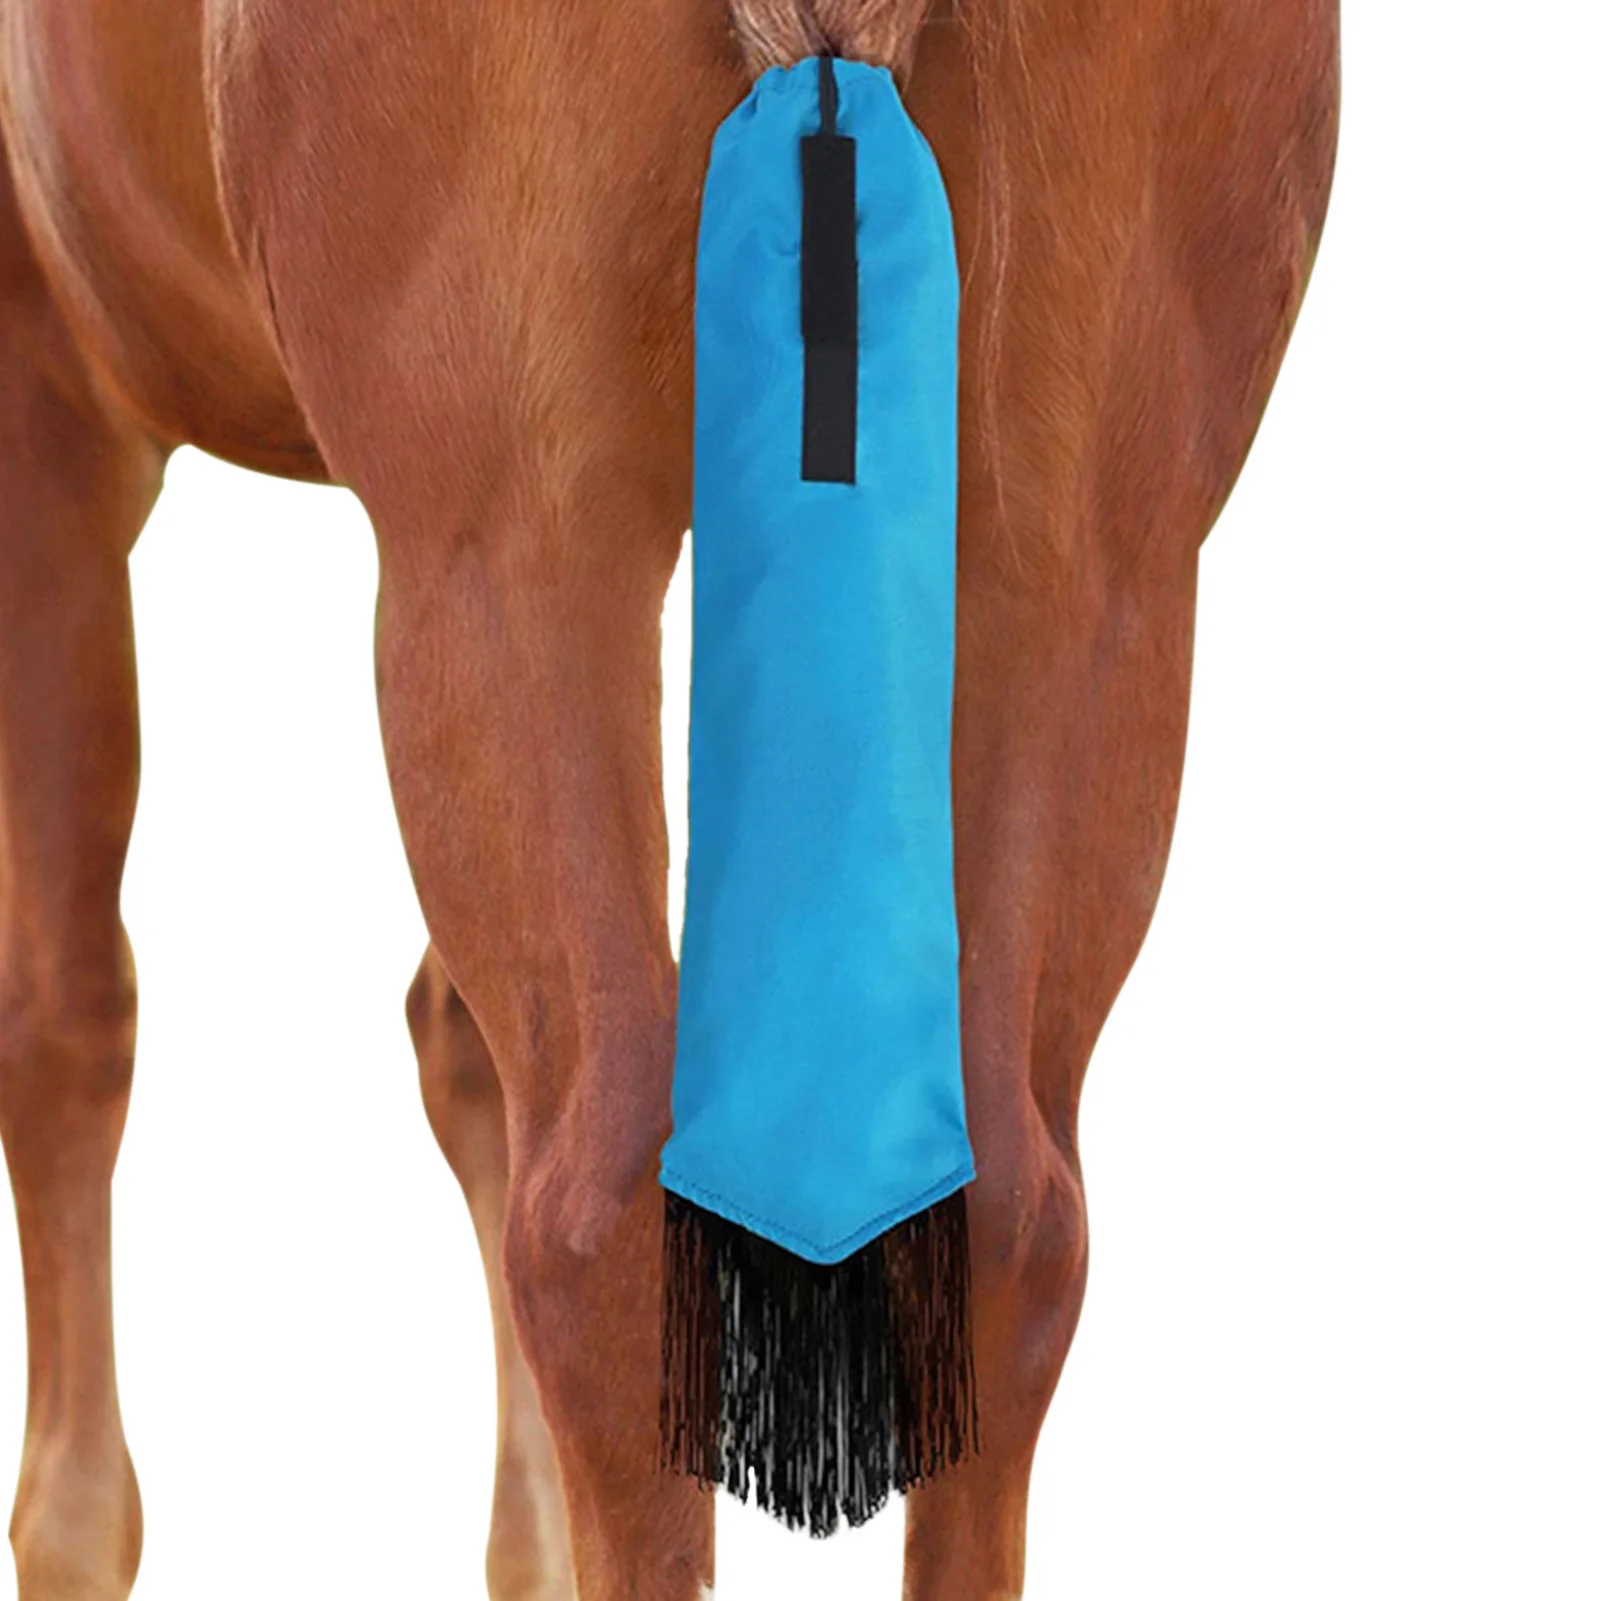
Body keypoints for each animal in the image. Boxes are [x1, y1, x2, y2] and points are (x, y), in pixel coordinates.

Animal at [0, 1, 1339, 1596]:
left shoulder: (47, 399)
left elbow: (66, 1021)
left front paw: (68, 1529)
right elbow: (450, 1053)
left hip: (511, 547)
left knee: (595, 1226)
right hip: (1083, 563)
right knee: (1009, 1222)